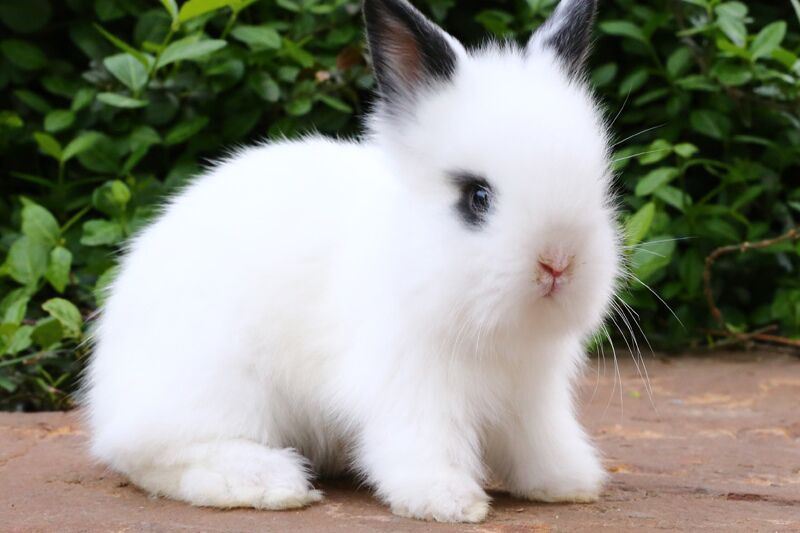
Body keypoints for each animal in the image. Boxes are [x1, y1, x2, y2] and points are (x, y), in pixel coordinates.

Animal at [84, 0, 620, 523]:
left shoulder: (533, 394)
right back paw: (270, 482)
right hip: (215, 385)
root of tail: (105, 384)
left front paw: (568, 484)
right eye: (477, 197)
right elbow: (424, 442)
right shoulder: (410, 383)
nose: (558, 263)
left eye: (598, 186)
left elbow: (540, 440)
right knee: (150, 449)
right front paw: (447, 500)